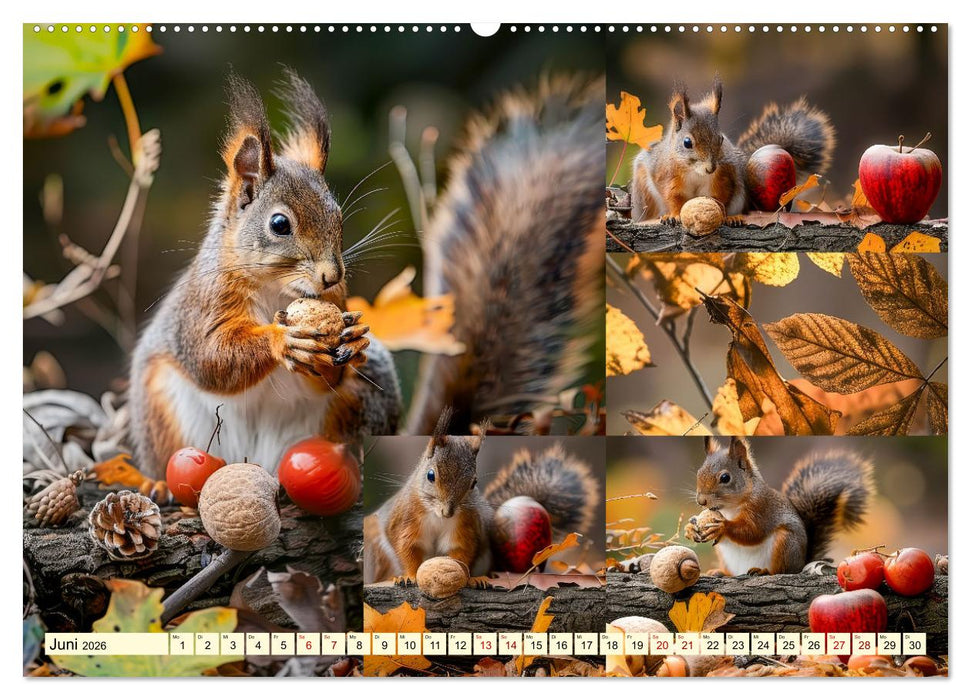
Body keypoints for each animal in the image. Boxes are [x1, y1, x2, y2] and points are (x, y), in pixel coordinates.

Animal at [130, 71, 604, 477]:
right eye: (279, 224)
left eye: (338, 218)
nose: (330, 276)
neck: (276, 291)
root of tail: (259, 464)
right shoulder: (203, 304)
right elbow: (210, 357)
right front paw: (284, 340)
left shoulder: (335, 303)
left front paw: (351, 340)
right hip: (160, 410)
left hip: (362, 403)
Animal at [363, 410, 598, 585]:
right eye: (430, 475)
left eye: (473, 482)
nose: (448, 512)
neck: (437, 517)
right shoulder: (406, 521)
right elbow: (408, 549)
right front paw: (410, 576)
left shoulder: (466, 525)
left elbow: (460, 551)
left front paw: (463, 578)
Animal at [630, 77, 836, 223]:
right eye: (687, 143)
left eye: (721, 139)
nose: (711, 168)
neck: (695, 171)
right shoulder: (666, 176)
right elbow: (673, 197)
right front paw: (673, 215)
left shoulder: (723, 177)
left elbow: (718, 197)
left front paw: (721, 214)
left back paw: (735, 217)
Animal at [684, 437, 874, 576]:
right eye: (699, 472)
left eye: (725, 478)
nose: (701, 501)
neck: (730, 508)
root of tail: (802, 562)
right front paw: (690, 529)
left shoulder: (761, 508)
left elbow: (752, 531)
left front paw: (722, 526)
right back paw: (720, 572)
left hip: (786, 543)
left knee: (782, 570)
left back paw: (764, 571)